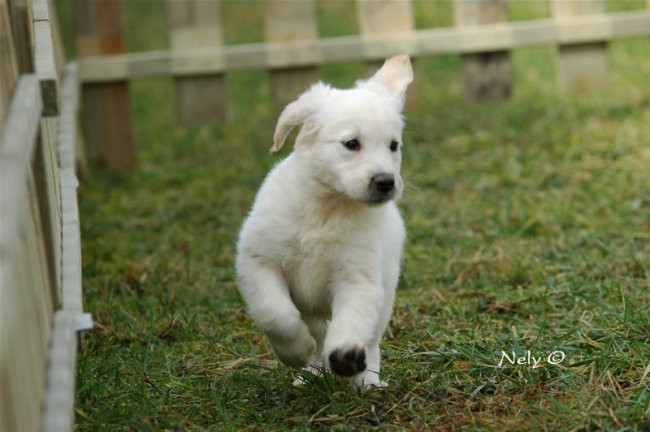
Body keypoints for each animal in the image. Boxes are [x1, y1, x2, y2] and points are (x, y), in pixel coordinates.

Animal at [235, 54, 412, 388]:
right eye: (351, 143)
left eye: (393, 145)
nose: (385, 182)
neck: (329, 208)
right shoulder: (258, 260)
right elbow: (275, 313)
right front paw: (295, 351)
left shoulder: (359, 278)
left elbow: (352, 321)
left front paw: (346, 355)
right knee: (316, 335)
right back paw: (310, 373)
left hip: (385, 290)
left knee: (371, 340)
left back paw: (367, 380)